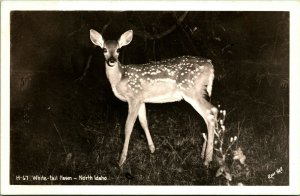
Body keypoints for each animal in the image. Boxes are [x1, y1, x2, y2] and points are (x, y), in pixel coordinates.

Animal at [89, 28, 218, 167]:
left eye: (118, 49)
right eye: (104, 49)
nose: (112, 61)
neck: (119, 79)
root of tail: (210, 66)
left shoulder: (134, 97)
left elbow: (128, 126)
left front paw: (121, 160)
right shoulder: (141, 99)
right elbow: (143, 122)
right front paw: (152, 148)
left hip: (190, 90)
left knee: (209, 113)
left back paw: (207, 159)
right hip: (200, 91)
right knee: (212, 111)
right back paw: (204, 154)